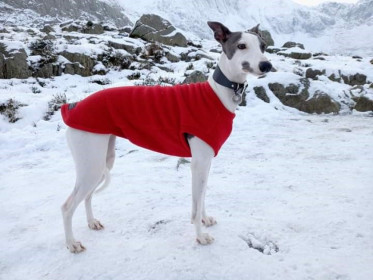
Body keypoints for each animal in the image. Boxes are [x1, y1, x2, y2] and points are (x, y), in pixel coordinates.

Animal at [60, 21, 270, 254]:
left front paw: (205, 220)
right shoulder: (198, 163)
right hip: (91, 165)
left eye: (263, 45)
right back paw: (71, 243)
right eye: (241, 45)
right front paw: (200, 236)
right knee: (67, 207)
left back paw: (92, 222)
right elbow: (196, 205)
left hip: (103, 161)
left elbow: (202, 197)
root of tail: (72, 107)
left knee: (87, 195)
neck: (218, 94)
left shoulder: (205, 163)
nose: (267, 66)